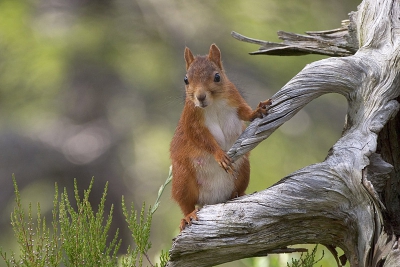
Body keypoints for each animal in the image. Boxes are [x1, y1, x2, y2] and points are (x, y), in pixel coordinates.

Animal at [170, 44, 272, 232]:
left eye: (217, 77)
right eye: (186, 79)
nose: (200, 97)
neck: (214, 103)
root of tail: (212, 199)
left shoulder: (235, 98)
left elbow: (245, 113)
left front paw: (257, 111)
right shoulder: (192, 119)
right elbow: (201, 139)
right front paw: (219, 155)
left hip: (243, 170)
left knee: (237, 189)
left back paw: (237, 195)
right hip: (182, 179)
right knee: (186, 203)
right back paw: (188, 216)